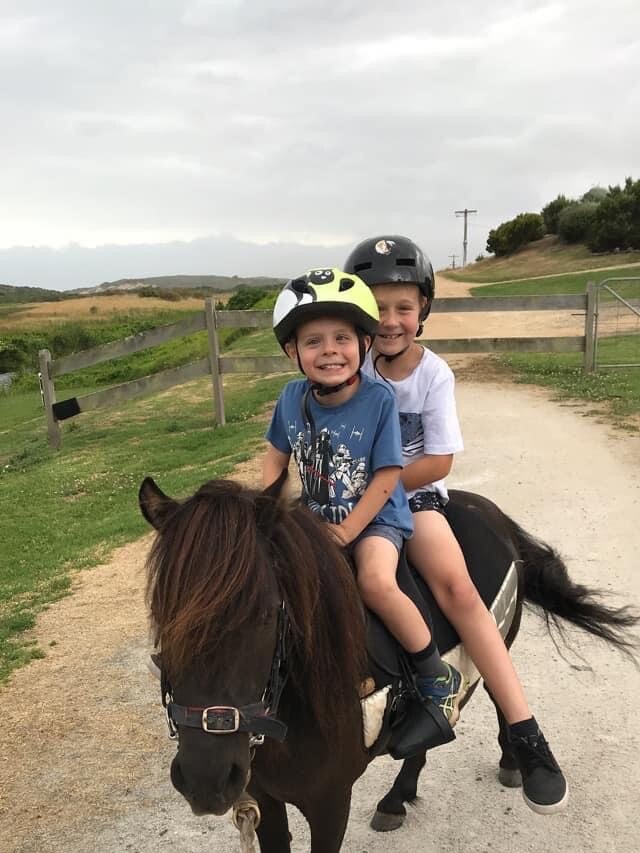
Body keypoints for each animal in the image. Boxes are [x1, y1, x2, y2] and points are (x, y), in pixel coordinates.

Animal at [141, 472, 640, 852]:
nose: (205, 779)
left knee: (498, 689)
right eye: (162, 613)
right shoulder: (264, 799)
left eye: (265, 613)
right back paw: (397, 797)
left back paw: (518, 763)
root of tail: (491, 513)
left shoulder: (330, 802)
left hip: (495, 630)